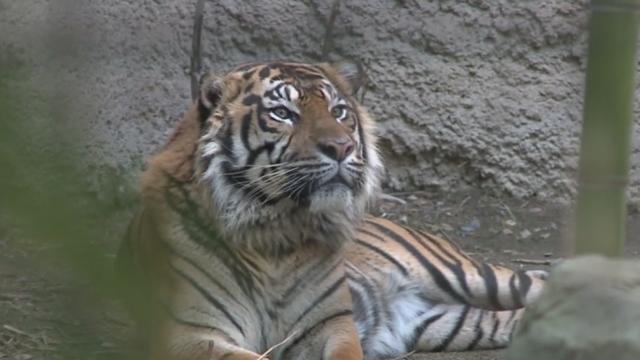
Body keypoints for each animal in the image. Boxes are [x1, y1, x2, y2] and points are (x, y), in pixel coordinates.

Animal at [115, 61, 544, 360]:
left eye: (339, 112)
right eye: (283, 114)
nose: (341, 147)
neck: (274, 234)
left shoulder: (329, 326)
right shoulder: (191, 334)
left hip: (467, 274)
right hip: (448, 323)